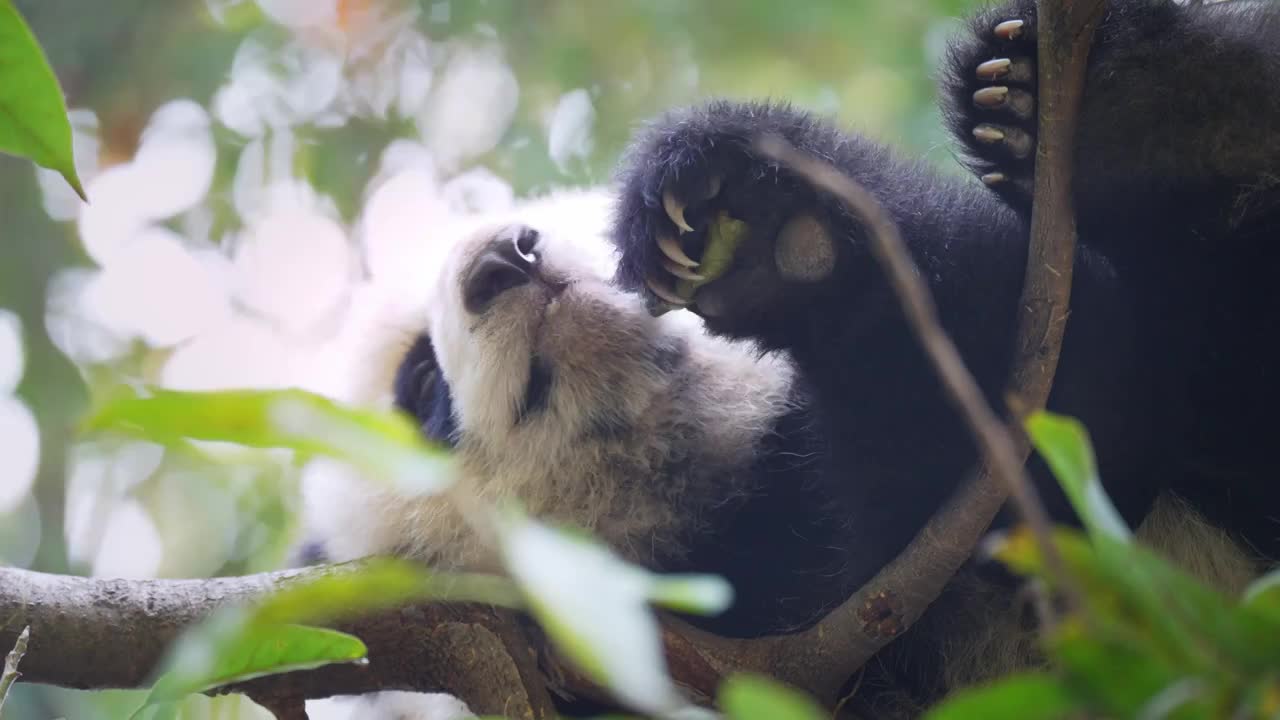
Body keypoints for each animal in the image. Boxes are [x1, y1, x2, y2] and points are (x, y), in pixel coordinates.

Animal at [302, 1, 1280, 712]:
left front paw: (768, 224)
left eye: (544, 216)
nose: (505, 259)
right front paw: (790, 253)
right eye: (418, 382)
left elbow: (1071, 348)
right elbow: (1061, 419)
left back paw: (1145, 99)